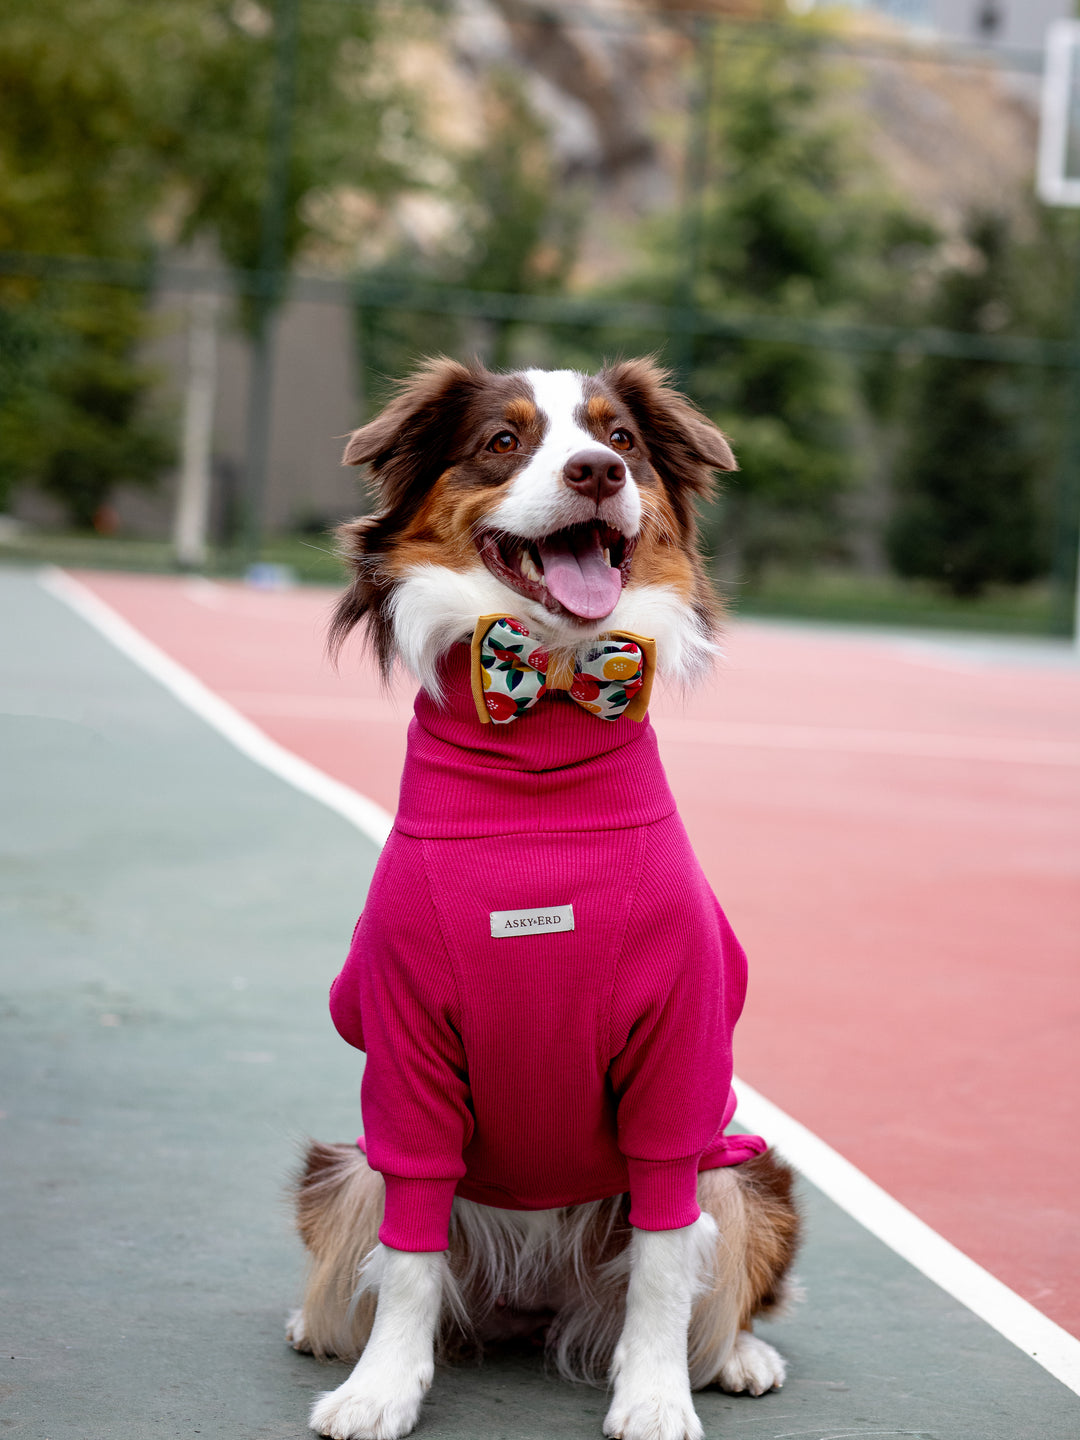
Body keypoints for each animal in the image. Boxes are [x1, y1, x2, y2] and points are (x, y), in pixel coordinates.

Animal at [292, 360, 800, 1440]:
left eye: (623, 439)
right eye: (502, 441)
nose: (597, 471)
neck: (549, 701)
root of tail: (535, 1304)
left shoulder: (677, 1059)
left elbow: (664, 1260)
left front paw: (653, 1395)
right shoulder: (406, 1055)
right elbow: (408, 1258)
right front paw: (383, 1389)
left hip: (745, 1164)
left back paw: (738, 1356)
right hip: (344, 1166)